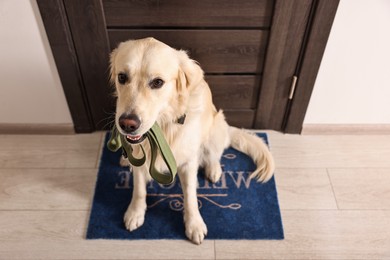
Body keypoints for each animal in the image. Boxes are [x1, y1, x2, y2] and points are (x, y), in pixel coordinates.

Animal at [109, 37, 274, 245]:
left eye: (157, 82)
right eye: (122, 77)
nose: (127, 124)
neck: (164, 128)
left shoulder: (188, 163)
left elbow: (190, 196)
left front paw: (194, 224)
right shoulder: (140, 159)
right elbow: (138, 189)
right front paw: (135, 213)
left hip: (216, 129)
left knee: (214, 155)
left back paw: (214, 170)